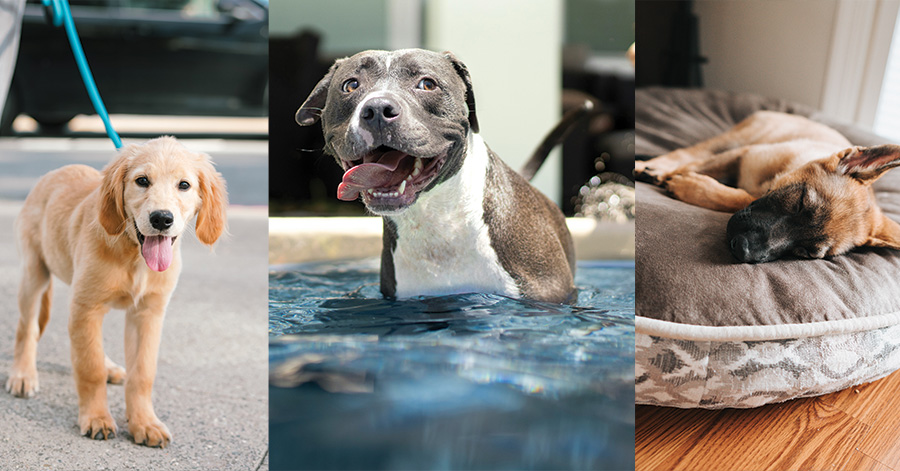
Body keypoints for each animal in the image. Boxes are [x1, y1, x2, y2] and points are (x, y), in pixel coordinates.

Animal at [6, 137, 229, 450]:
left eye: (184, 185)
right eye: (142, 180)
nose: (162, 219)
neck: (133, 255)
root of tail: (53, 173)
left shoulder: (147, 314)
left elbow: (142, 373)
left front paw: (144, 422)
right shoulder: (85, 307)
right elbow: (89, 367)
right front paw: (96, 418)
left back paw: (110, 367)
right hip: (33, 274)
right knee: (26, 329)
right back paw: (23, 374)